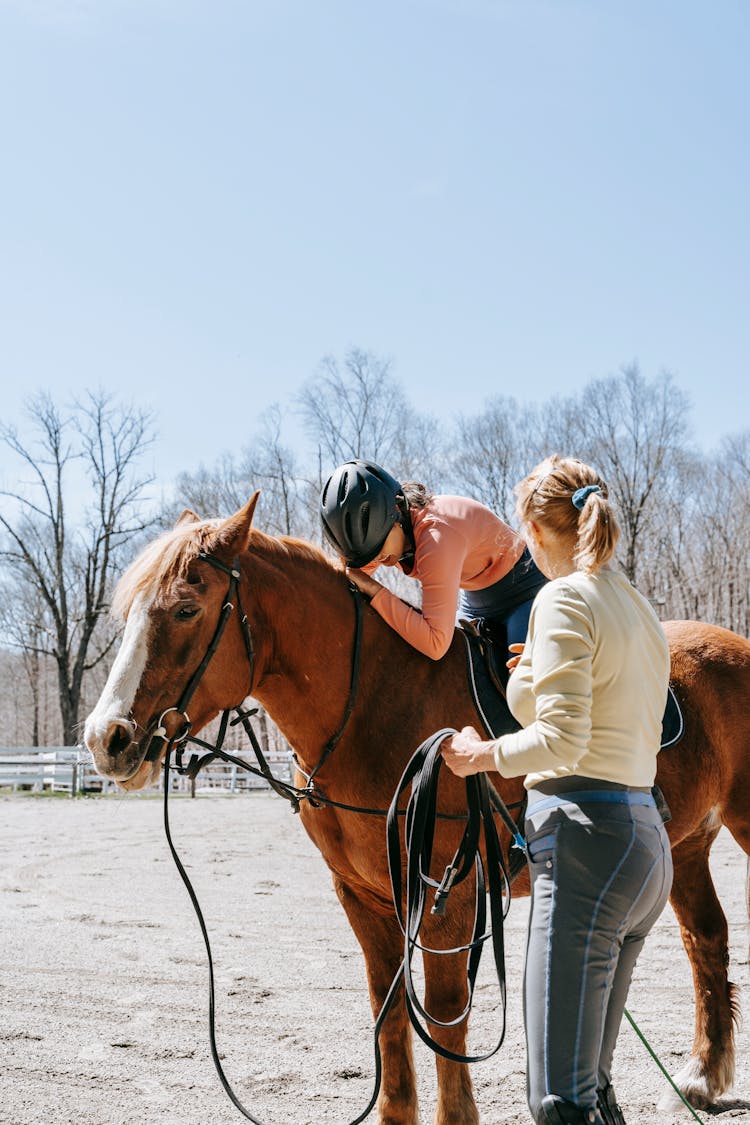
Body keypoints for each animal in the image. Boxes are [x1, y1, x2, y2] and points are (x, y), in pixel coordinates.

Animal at [83, 499, 750, 1125]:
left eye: (186, 609)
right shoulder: (363, 893)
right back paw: (700, 1078)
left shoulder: (449, 892)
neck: (371, 703)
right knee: (706, 937)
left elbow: (446, 1010)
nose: (105, 739)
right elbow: (389, 1005)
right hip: (682, 846)